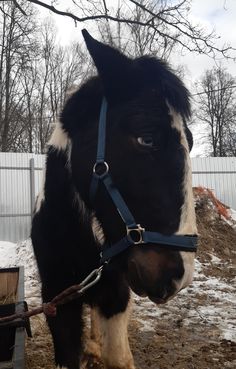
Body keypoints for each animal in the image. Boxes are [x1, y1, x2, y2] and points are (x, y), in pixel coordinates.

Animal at [30, 29, 197, 368]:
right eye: (147, 138)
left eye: (191, 142)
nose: (179, 275)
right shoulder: (55, 299)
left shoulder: (115, 294)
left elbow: (118, 357)